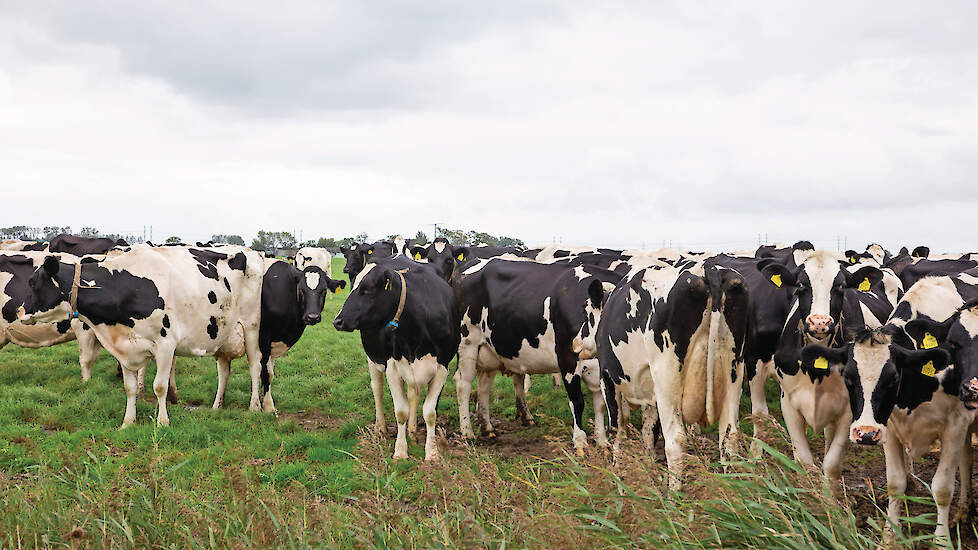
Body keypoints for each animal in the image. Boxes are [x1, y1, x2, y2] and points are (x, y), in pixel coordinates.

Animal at [20, 247, 264, 432]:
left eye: (33, 283)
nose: (20, 312)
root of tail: (252, 252)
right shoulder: (124, 348)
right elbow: (129, 388)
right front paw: (128, 422)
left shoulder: (166, 345)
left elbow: (160, 387)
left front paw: (163, 422)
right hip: (224, 334)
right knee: (224, 370)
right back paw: (216, 406)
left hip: (251, 326)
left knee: (255, 365)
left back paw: (254, 407)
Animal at [334, 256, 460, 464]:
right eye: (353, 285)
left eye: (366, 289)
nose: (338, 321)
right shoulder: (392, 366)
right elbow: (400, 411)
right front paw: (400, 452)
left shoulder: (443, 365)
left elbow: (430, 412)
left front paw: (431, 453)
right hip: (373, 358)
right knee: (377, 388)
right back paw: (381, 427)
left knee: (413, 393)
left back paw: (412, 430)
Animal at [452, 260, 620, 454]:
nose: (577, 344)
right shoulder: (567, 361)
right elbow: (577, 402)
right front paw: (580, 442)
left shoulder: (600, 370)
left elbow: (601, 404)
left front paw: (602, 441)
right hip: (467, 343)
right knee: (463, 384)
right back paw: (467, 432)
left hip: (489, 350)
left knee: (484, 386)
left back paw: (487, 428)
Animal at [804, 274, 976, 540]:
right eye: (848, 378)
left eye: (892, 378)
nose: (865, 433)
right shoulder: (889, 427)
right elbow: (896, 483)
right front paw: (890, 535)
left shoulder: (956, 426)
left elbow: (942, 488)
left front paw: (941, 540)